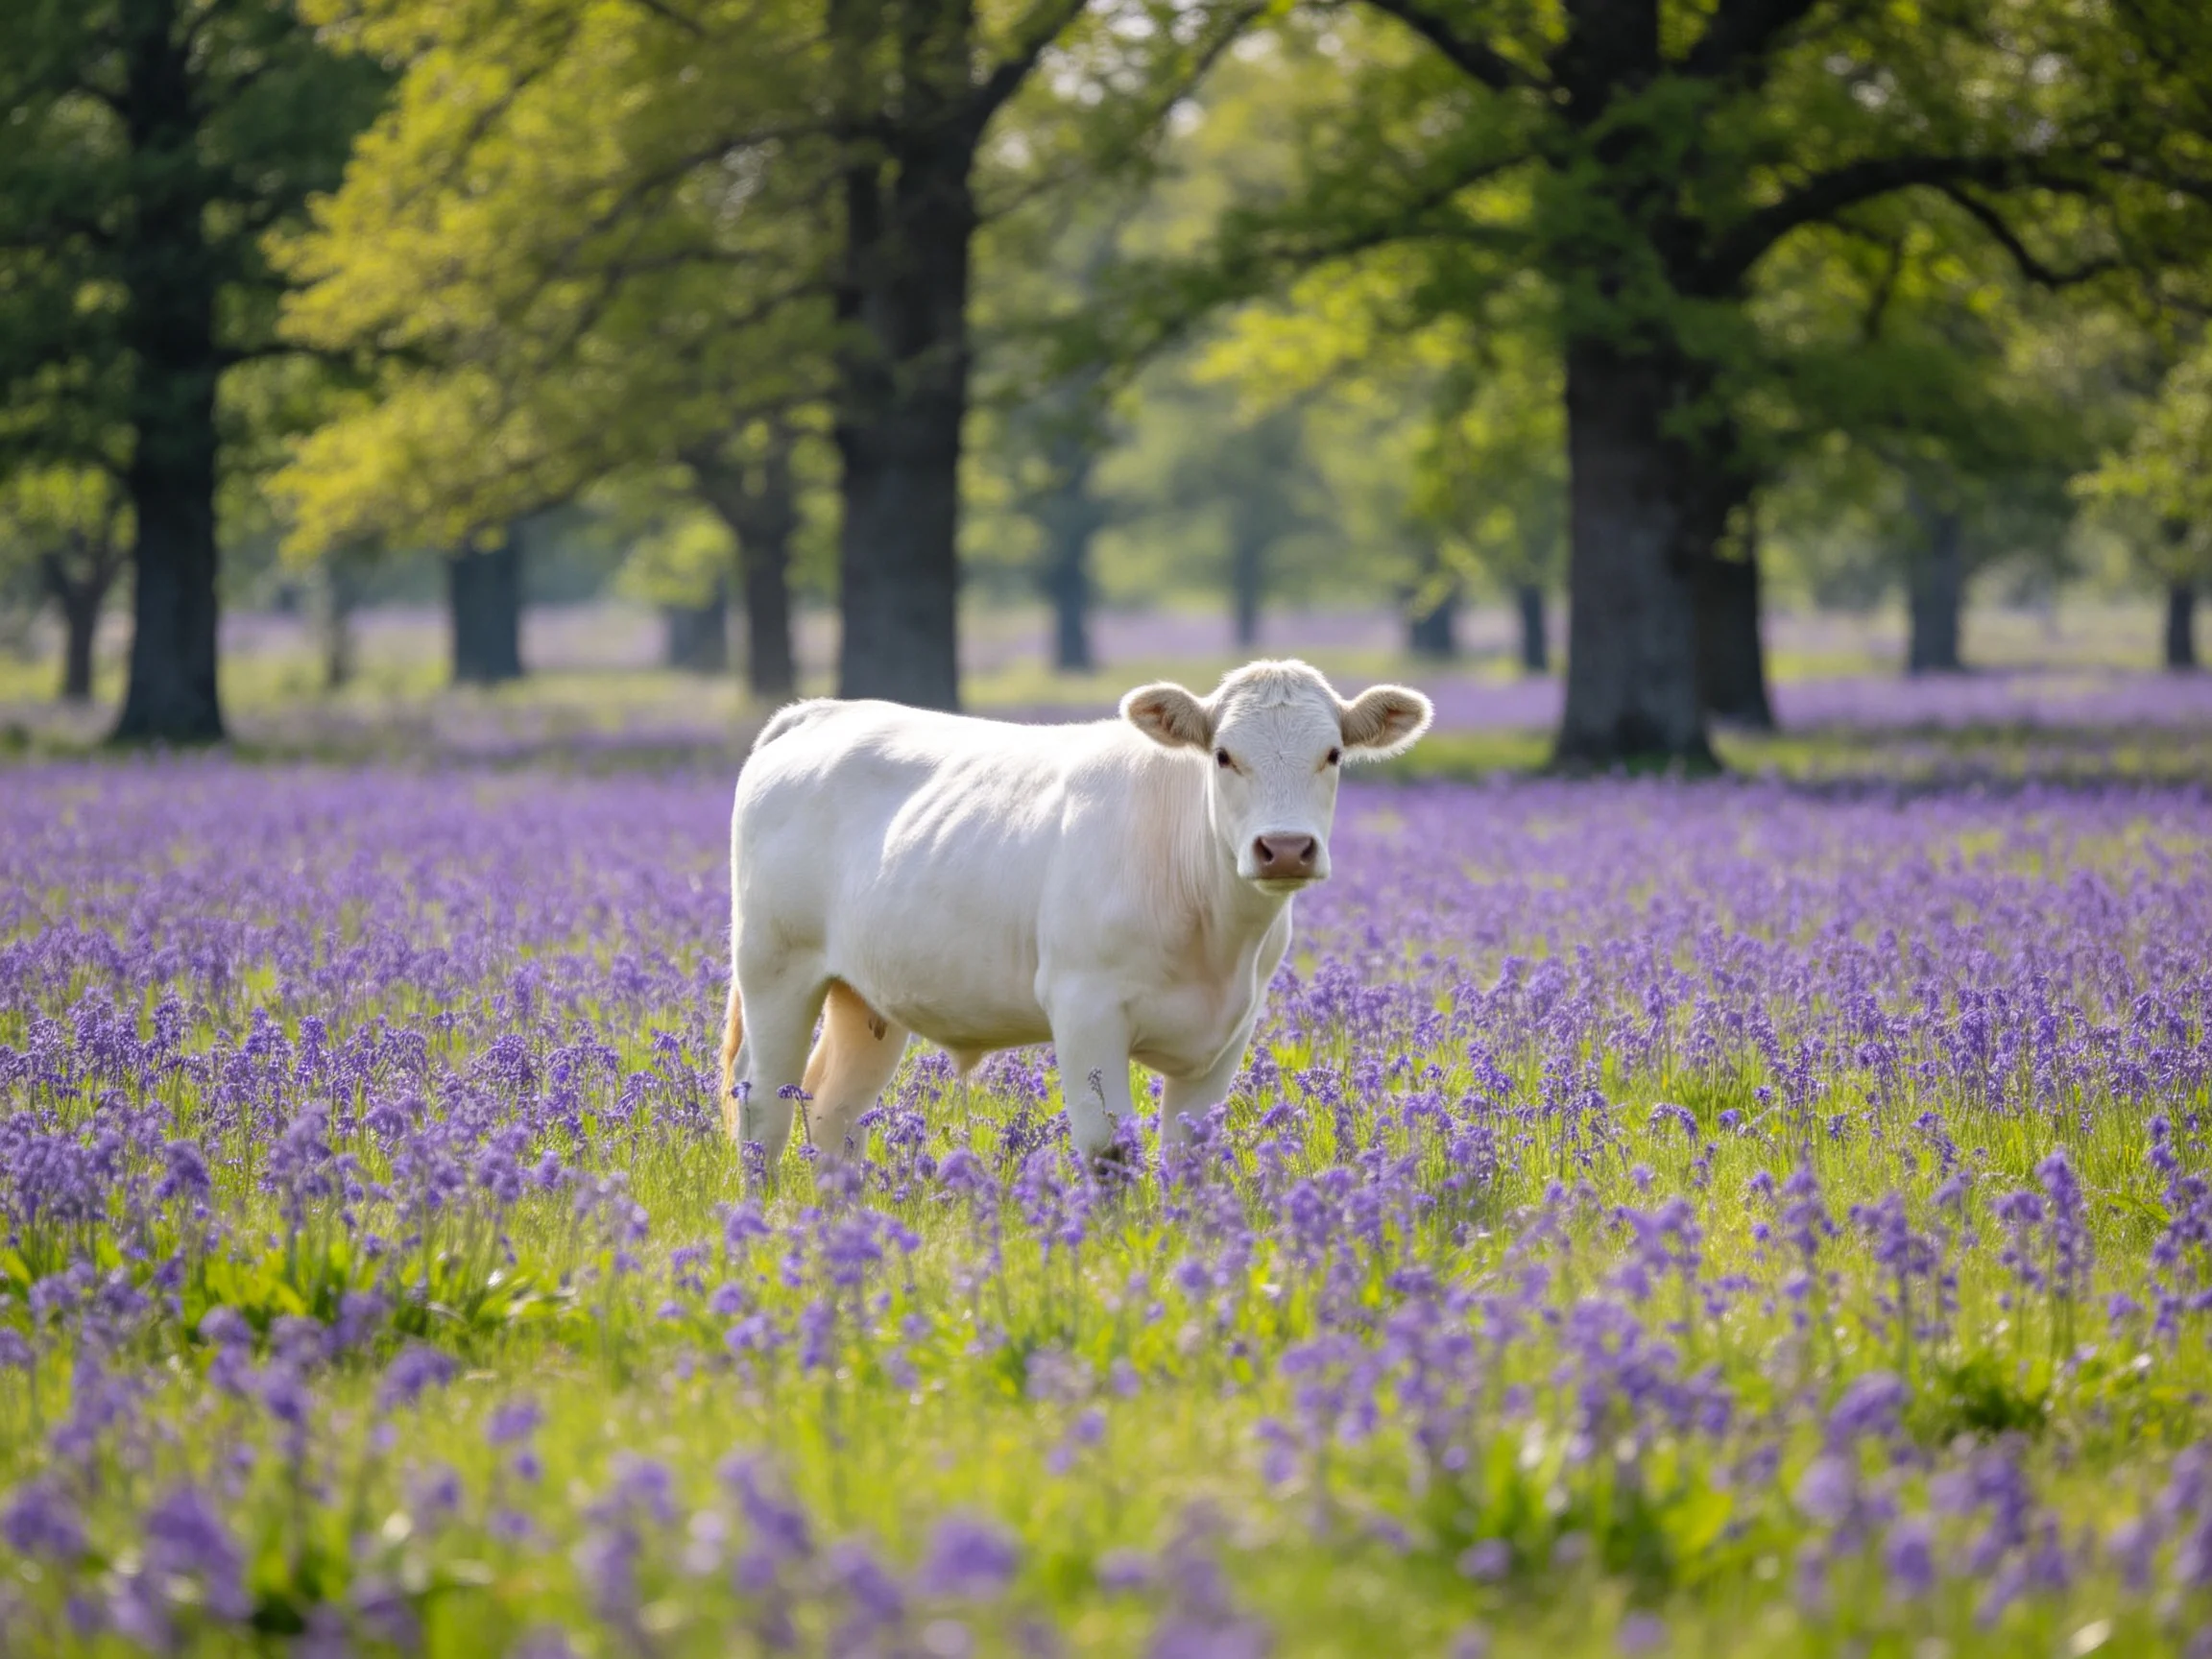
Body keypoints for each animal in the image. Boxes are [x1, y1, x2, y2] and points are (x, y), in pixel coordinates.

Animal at [717, 659, 1432, 1170]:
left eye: (1332, 754)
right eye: (1225, 755)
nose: (1284, 848)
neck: (1216, 941)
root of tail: (821, 712)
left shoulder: (1231, 1031)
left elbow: (1188, 1157)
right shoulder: (1084, 1007)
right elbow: (1110, 1154)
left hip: (867, 997)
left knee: (832, 1111)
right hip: (775, 969)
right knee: (762, 1107)